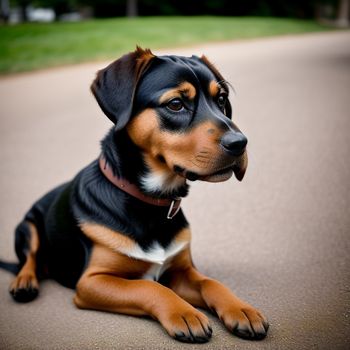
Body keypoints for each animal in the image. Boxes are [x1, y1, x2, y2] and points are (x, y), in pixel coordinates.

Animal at [2, 47, 268, 344]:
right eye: (176, 104)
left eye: (221, 99)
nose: (240, 143)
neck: (151, 201)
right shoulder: (93, 281)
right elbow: (149, 288)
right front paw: (184, 313)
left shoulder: (181, 271)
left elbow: (211, 282)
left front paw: (241, 309)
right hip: (26, 226)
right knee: (29, 258)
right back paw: (24, 282)